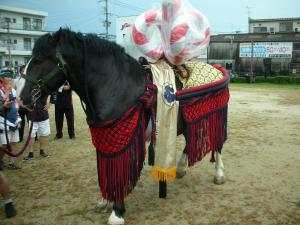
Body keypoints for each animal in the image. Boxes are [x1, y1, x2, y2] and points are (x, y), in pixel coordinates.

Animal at [19, 28, 227, 225]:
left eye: (38, 59)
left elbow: (119, 173)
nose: (22, 99)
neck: (115, 86)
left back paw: (219, 174)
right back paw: (182, 168)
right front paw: (105, 201)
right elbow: (105, 171)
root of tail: (217, 69)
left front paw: (117, 212)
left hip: (215, 115)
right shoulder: (105, 139)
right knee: (191, 140)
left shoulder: (124, 139)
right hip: (191, 118)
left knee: (217, 145)